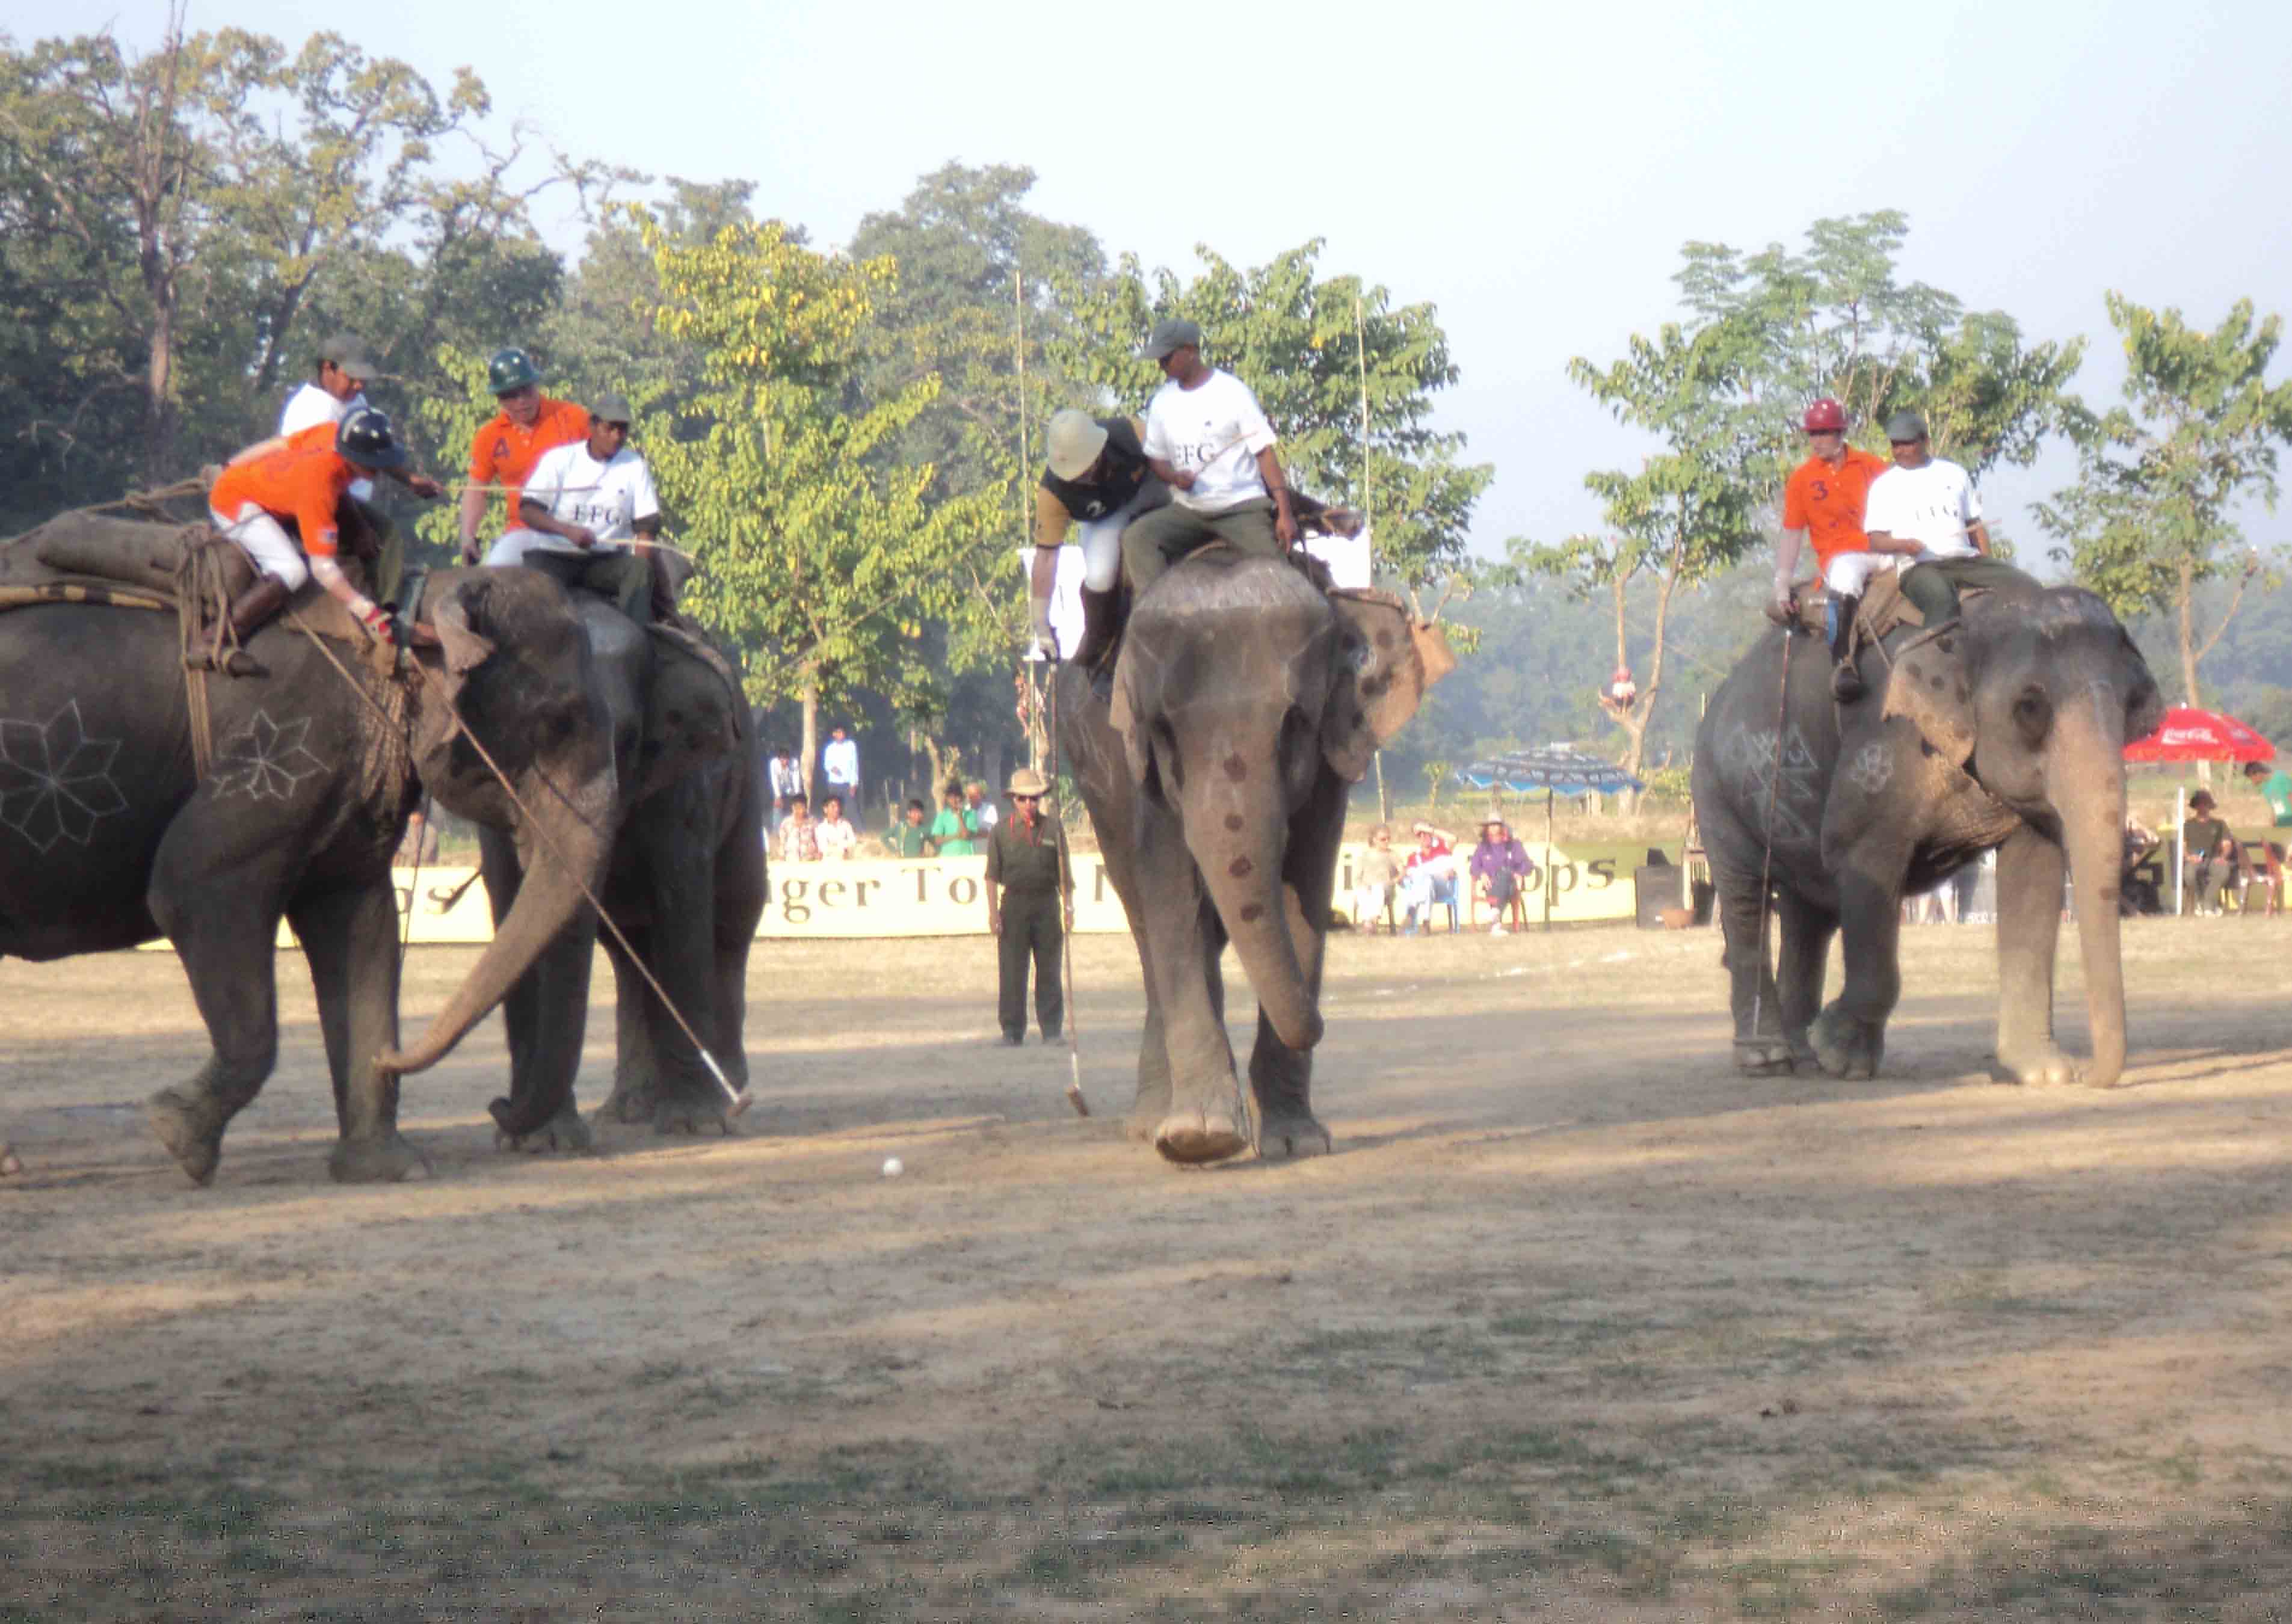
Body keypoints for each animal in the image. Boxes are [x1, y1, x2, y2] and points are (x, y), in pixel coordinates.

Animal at [0, 549, 625, 1185]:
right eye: (559, 722)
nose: (497, 1107)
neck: (404, 624)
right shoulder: (286, 750)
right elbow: (189, 884)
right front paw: (177, 1135)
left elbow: (361, 925)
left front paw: (387, 1167)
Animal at [1058, 546, 1450, 1164]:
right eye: (1163, 732)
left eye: (1294, 726)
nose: (1322, 1021)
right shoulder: (1137, 770)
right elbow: (1173, 898)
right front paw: (1199, 1140)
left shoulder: (1331, 768)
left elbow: (1303, 892)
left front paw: (1295, 1141)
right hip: (1096, 787)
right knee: (1146, 926)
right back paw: (1153, 1126)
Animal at [1690, 580, 2165, 1087]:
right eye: (2030, 707)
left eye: (2134, 707)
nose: (2090, 1075)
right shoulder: (1884, 749)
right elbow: (1862, 860)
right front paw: (1844, 1059)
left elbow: (2035, 873)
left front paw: (2044, 1073)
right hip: (1715, 793)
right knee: (1747, 899)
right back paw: (1768, 1059)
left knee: (1808, 914)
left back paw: (1804, 1055)